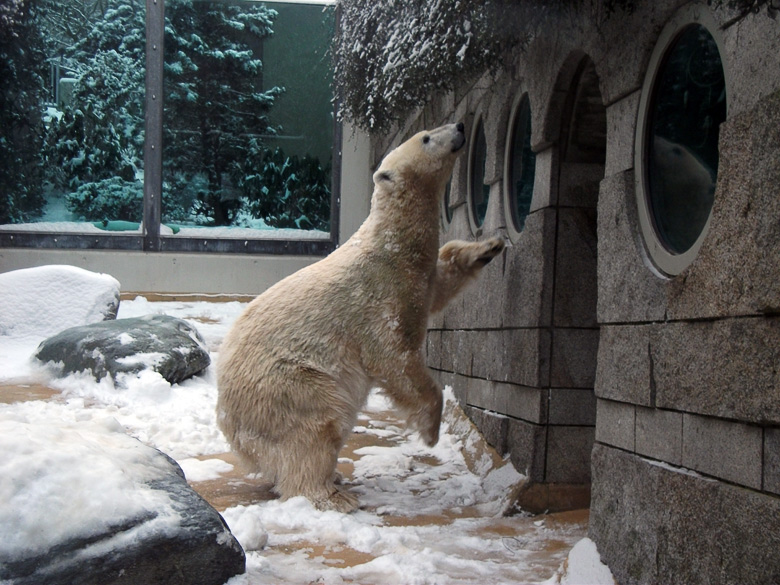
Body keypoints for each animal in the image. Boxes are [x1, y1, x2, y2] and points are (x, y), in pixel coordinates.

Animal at [216, 123, 506, 512]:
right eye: (426, 137)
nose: (460, 127)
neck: (390, 245)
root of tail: (229, 423)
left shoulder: (414, 278)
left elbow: (441, 282)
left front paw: (489, 247)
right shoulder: (378, 296)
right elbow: (394, 358)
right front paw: (430, 430)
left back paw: (334, 479)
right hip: (287, 384)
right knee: (318, 422)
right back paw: (332, 495)